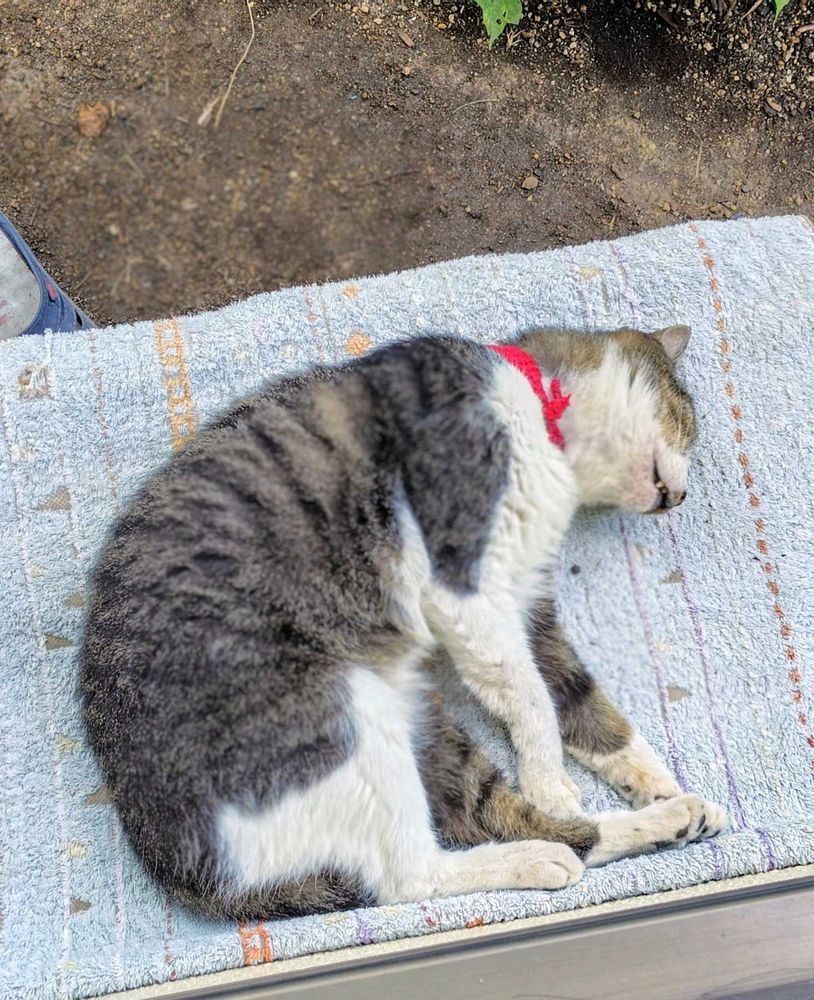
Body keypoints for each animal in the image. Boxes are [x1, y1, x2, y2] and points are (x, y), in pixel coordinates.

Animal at [80, 324, 727, 920]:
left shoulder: (528, 604)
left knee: (484, 815)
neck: (539, 402)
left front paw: (648, 773)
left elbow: (578, 698)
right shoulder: (464, 588)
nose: (682, 497)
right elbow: (533, 700)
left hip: (422, 723)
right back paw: (548, 854)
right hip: (349, 715)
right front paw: (550, 779)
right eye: (685, 423)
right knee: (411, 876)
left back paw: (672, 817)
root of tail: (182, 866)